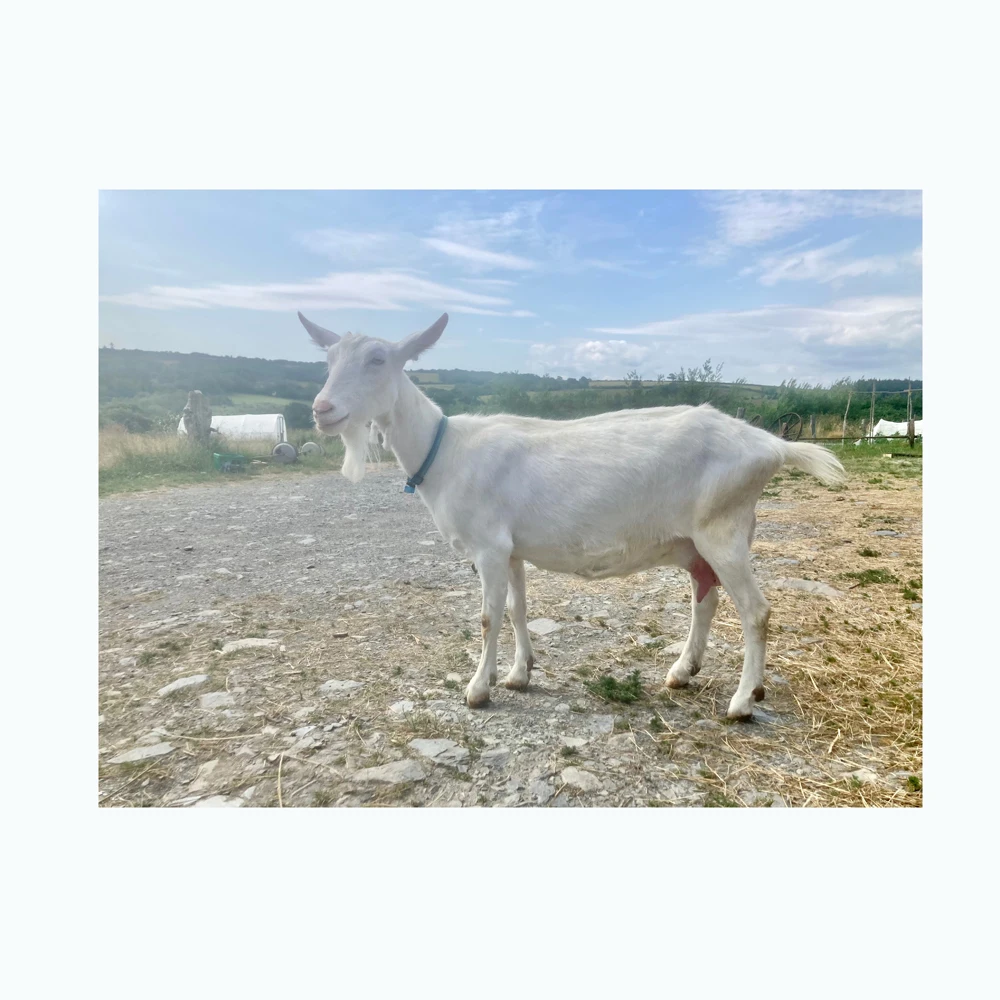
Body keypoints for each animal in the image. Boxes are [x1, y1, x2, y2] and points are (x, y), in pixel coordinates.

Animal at [298, 311, 847, 719]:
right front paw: (518, 674)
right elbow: (516, 609)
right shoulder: (510, 549)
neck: (446, 450)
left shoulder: (487, 546)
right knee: (705, 597)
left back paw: (742, 701)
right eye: (328, 359)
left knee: (756, 611)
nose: (322, 409)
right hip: (702, 539)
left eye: (378, 359)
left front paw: (478, 689)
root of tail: (771, 445)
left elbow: (486, 616)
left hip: (723, 529)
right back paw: (682, 672)